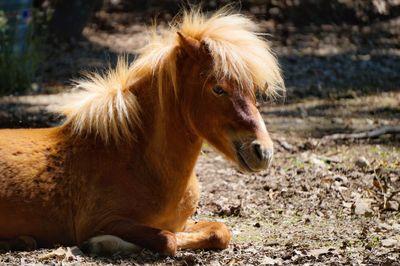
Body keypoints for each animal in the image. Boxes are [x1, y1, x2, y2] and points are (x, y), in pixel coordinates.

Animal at [0, 8, 282, 256]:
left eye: (252, 88)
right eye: (218, 88)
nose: (263, 151)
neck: (138, 160)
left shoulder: (183, 223)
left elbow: (219, 231)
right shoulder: (102, 221)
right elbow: (167, 240)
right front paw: (101, 243)